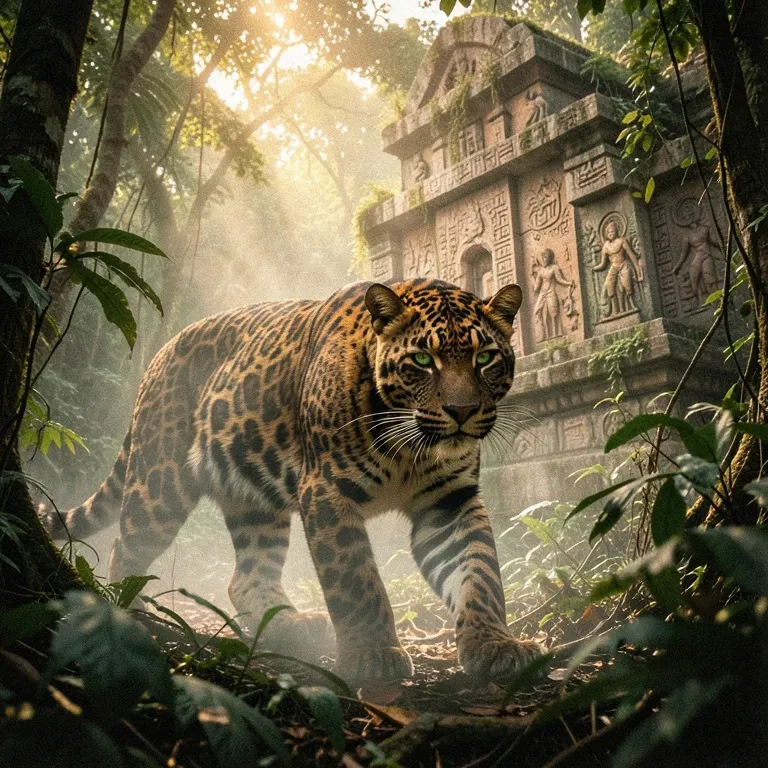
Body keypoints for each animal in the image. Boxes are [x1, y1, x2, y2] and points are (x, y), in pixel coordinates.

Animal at [45, 278, 540, 682]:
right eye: (422, 359)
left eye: (485, 358)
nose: (462, 412)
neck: (409, 447)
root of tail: (159, 354)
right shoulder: (326, 490)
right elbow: (357, 580)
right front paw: (373, 654)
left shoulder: (449, 502)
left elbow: (479, 572)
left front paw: (494, 645)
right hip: (159, 484)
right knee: (124, 547)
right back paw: (128, 612)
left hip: (254, 500)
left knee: (244, 578)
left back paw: (291, 626)